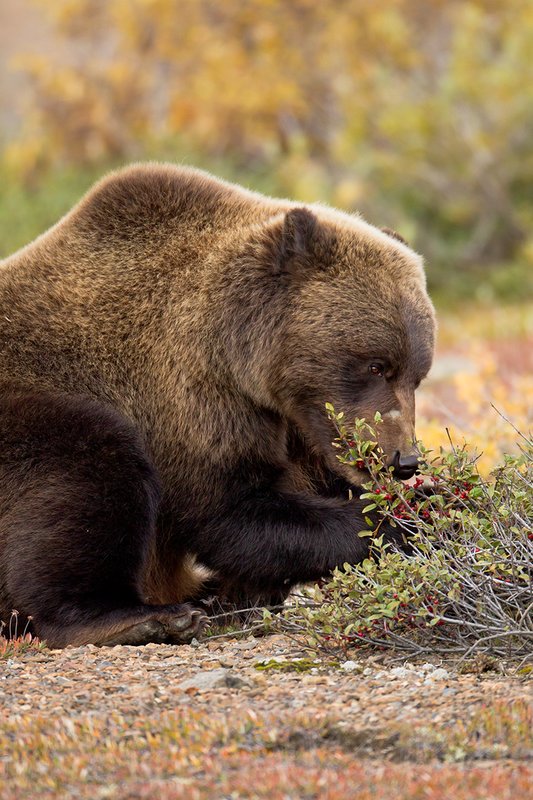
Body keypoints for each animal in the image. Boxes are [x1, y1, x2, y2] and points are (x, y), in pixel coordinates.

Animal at [0, 163, 436, 647]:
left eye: (418, 374)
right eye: (376, 365)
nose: (403, 460)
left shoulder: (299, 426)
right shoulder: (187, 392)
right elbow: (228, 512)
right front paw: (410, 519)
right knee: (87, 467)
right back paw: (145, 618)